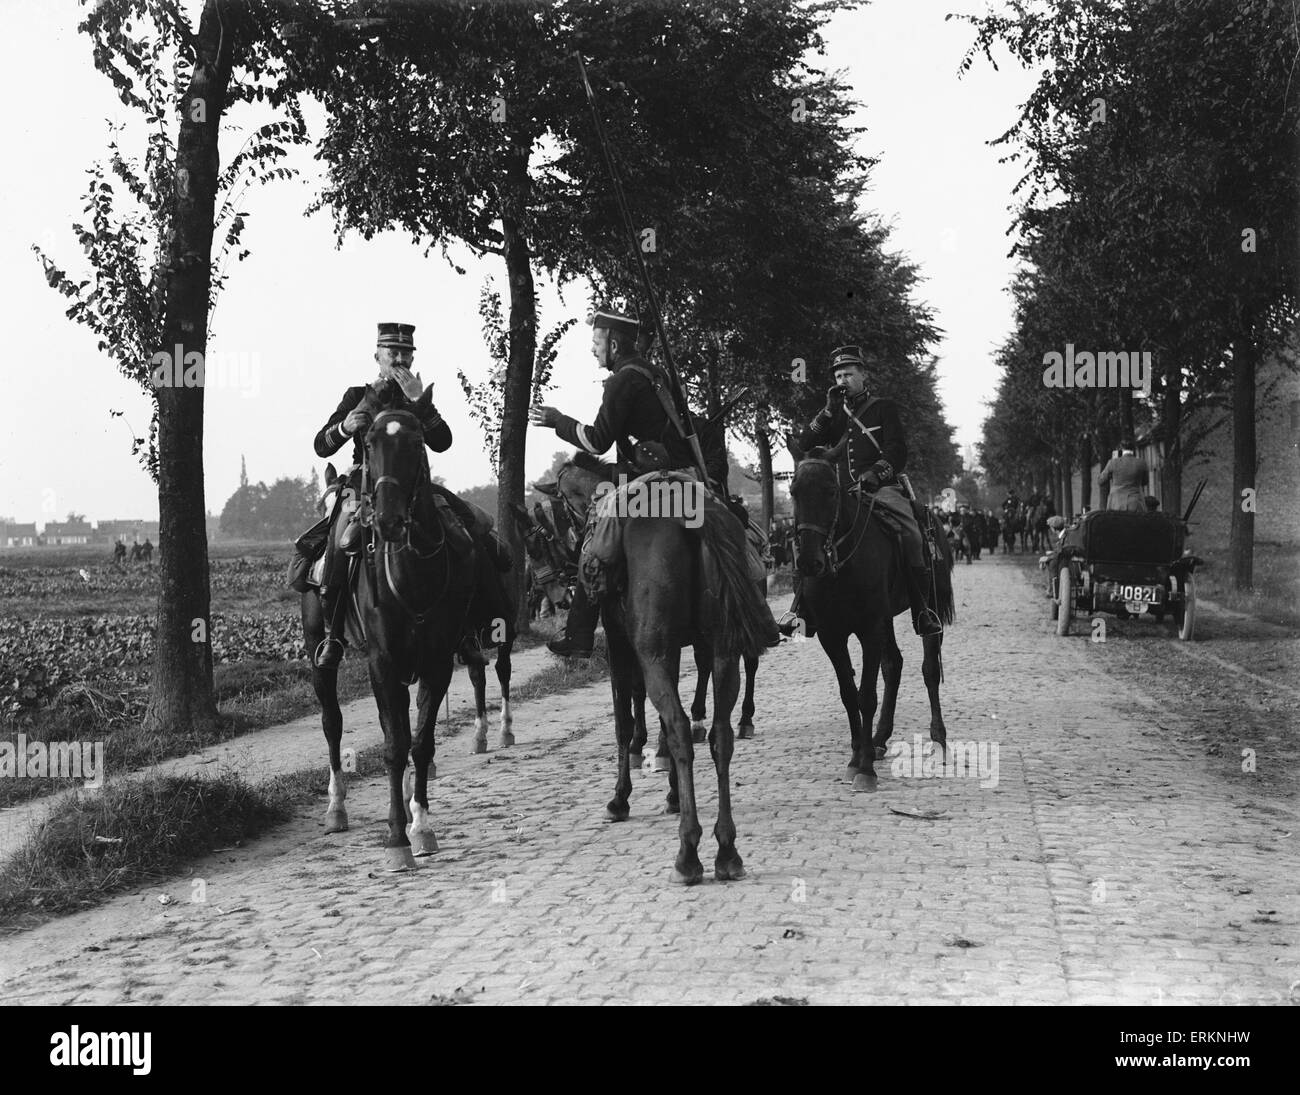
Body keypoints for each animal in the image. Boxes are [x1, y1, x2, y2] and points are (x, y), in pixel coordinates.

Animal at [297, 379, 483, 868]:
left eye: (417, 442)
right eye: (368, 442)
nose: (387, 520)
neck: (411, 573)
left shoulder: (436, 662)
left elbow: (419, 742)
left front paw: (420, 826)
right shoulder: (381, 661)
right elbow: (394, 746)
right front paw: (398, 839)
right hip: (320, 653)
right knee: (332, 722)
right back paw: (336, 807)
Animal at [780, 444, 956, 795]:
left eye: (831, 491)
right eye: (793, 491)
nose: (809, 562)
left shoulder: (869, 629)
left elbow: (866, 695)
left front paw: (865, 770)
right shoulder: (832, 635)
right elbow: (849, 694)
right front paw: (856, 755)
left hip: (926, 608)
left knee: (929, 669)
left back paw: (938, 740)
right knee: (894, 665)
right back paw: (877, 740)